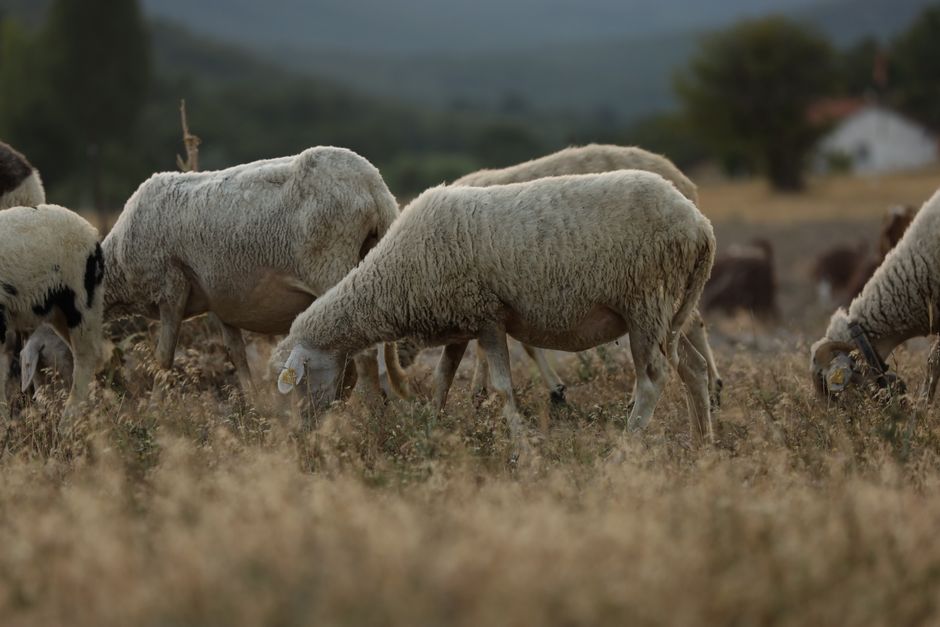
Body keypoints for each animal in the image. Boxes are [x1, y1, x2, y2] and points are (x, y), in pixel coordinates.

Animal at [100, 146, 399, 399]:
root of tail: (374, 186)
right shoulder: (221, 303)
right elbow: (237, 355)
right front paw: (253, 405)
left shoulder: (171, 287)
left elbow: (163, 358)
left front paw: (155, 407)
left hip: (332, 264)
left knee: (363, 352)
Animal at [274, 170, 717, 445]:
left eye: (299, 383)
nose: (302, 436)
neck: (393, 278)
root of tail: (701, 225)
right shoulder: (459, 321)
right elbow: (442, 381)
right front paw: (431, 431)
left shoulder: (487, 316)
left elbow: (502, 387)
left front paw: (520, 445)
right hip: (666, 313)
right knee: (693, 369)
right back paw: (702, 444)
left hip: (646, 301)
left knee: (653, 378)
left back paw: (626, 445)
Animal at [384, 143, 722, 409]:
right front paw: (482, 391)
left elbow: (518, 346)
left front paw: (545, 389)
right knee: (689, 328)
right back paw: (711, 390)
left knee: (685, 330)